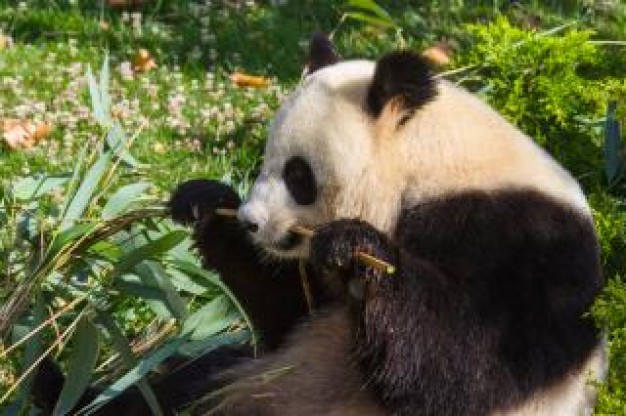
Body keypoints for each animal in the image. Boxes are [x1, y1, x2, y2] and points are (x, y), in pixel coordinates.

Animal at [166, 33, 604, 416]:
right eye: (266, 161)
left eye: (298, 175)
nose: (251, 222)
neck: (430, 162)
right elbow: (288, 313)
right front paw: (206, 204)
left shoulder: (523, 240)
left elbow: (477, 363)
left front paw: (356, 249)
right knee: (186, 378)